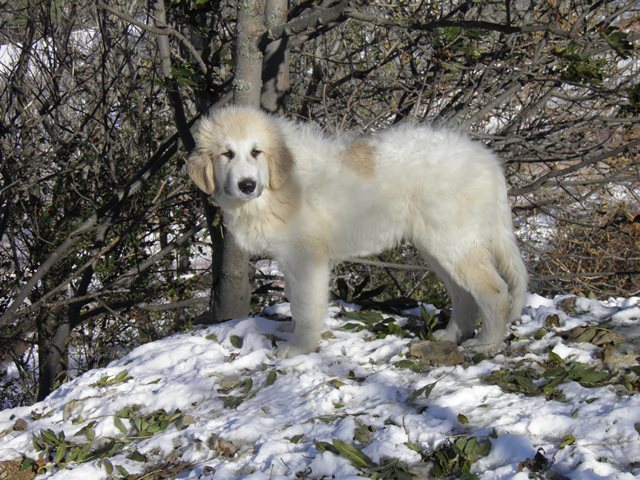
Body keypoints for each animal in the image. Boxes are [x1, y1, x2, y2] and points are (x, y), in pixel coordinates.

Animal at [188, 105, 528, 358]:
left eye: (256, 152)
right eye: (227, 154)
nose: (247, 185)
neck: (275, 187)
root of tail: (487, 159)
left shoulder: (305, 256)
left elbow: (304, 305)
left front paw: (299, 348)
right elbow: (296, 300)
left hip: (454, 242)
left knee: (494, 291)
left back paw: (486, 342)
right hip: (439, 247)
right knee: (463, 293)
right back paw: (452, 334)